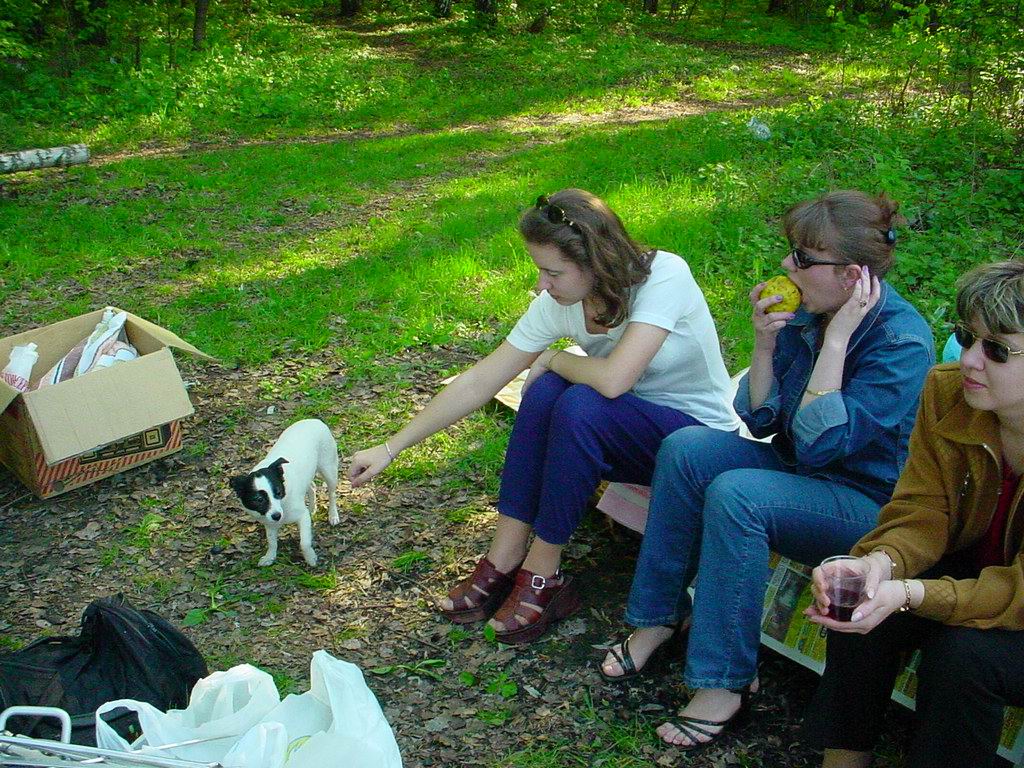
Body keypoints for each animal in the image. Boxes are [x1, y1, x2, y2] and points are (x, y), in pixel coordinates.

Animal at [229, 419, 339, 567]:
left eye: (278, 492)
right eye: (258, 499)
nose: (277, 516)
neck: (283, 504)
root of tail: (314, 420)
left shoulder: (302, 517)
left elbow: (304, 543)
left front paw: (311, 558)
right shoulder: (269, 523)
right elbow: (272, 542)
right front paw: (270, 557)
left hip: (329, 469)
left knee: (332, 493)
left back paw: (333, 515)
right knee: (312, 486)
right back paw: (312, 508)